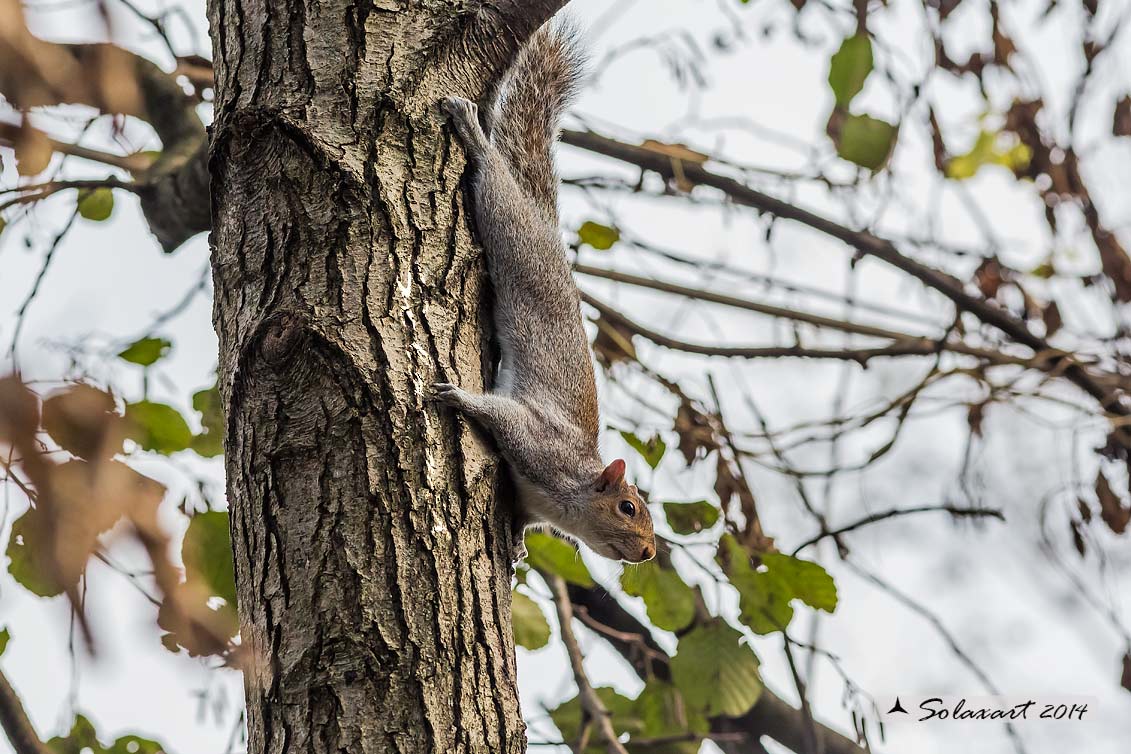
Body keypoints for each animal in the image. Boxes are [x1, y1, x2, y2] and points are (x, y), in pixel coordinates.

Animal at [436, 22, 660, 565]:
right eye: (627, 507)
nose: (648, 553)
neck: (570, 498)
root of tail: (545, 225)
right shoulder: (540, 443)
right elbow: (501, 415)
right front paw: (459, 398)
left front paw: (516, 544)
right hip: (513, 234)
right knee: (496, 184)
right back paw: (476, 139)